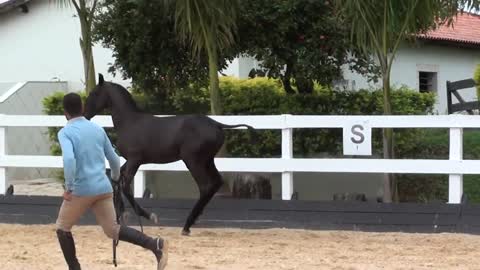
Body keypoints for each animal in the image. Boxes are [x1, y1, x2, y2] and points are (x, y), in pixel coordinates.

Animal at [83, 73, 255, 234]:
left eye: (94, 93)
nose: (85, 114)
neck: (130, 123)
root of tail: (217, 124)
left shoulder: (135, 160)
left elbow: (125, 186)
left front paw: (148, 215)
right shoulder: (130, 161)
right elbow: (116, 181)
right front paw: (121, 216)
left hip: (193, 161)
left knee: (205, 186)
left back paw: (187, 225)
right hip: (207, 160)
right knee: (216, 182)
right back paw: (192, 221)